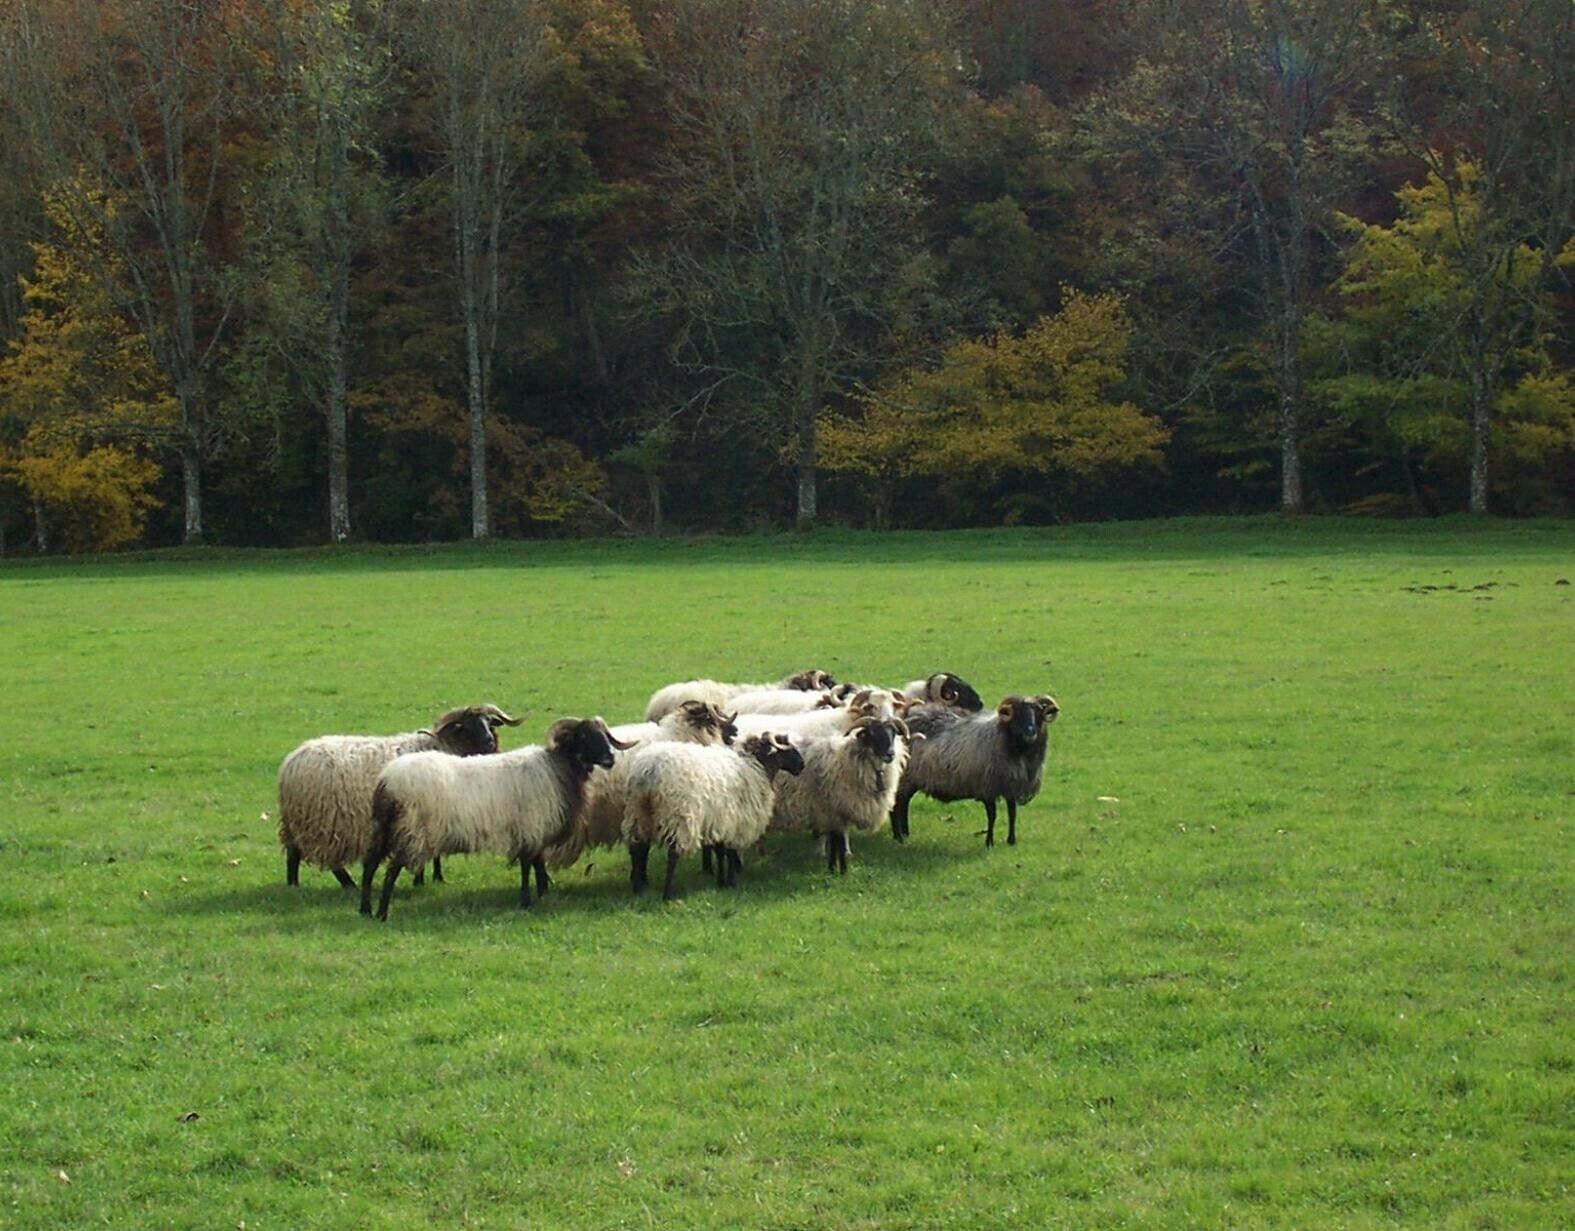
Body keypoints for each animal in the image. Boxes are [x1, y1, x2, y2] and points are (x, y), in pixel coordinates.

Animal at [277, 704, 521, 890]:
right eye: (468, 726)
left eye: (490, 723)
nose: (489, 741)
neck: (444, 746)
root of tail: (290, 765)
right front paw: (422, 879)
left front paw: (435, 877)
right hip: (327, 823)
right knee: (331, 862)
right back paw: (348, 885)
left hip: (299, 822)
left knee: (293, 854)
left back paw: (293, 885)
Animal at [360, 717, 634, 920]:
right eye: (584, 737)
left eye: (604, 735)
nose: (610, 758)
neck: (558, 767)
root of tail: (388, 779)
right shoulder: (530, 826)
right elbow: (528, 865)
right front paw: (526, 901)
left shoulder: (535, 828)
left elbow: (538, 864)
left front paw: (543, 893)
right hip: (412, 830)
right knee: (391, 870)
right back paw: (382, 913)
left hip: (386, 826)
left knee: (370, 864)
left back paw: (365, 910)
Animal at [621, 733, 805, 900]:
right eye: (786, 746)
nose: (801, 765)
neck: (755, 765)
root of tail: (648, 770)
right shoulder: (737, 821)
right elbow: (730, 852)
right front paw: (731, 882)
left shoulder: (720, 820)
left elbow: (720, 851)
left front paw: (721, 882)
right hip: (679, 816)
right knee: (672, 854)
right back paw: (667, 894)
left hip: (638, 812)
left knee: (637, 848)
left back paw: (637, 889)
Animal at [768, 715, 912, 873]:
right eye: (872, 734)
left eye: (893, 733)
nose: (890, 754)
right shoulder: (830, 807)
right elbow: (835, 838)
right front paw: (833, 863)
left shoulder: (841, 807)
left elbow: (841, 835)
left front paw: (842, 857)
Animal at [892, 694, 1060, 847]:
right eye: (1017, 714)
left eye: (1039, 713)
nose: (1030, 733)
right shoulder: (987, 788)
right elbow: (992, 815)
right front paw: (989, 842)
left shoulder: (1011, 787)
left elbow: (1012, 813)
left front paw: (1011, 840)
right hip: (904, 778)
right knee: (897, 806)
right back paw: (898, 837)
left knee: (904, 803)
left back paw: (905, 834)